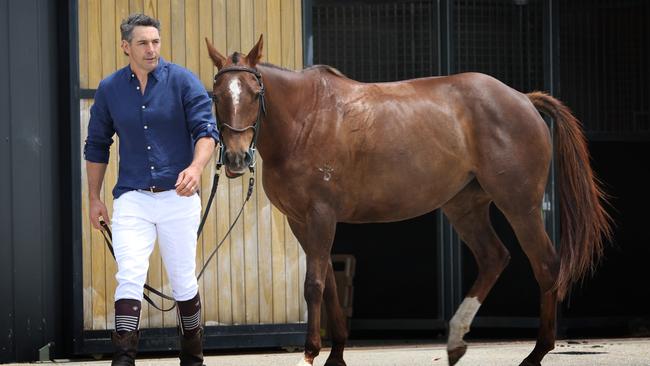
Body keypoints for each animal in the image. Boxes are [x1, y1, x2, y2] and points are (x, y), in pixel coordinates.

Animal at [205, 35, 612, 366]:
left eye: (255, 94)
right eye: (216, 96)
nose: (237, 159)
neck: (306, 119)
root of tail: (523, 99)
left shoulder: (320, 216)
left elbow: (315, 283)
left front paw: (311, 352)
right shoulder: (300, 221)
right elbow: (330, 283)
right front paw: (336, 354)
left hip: (520, 206)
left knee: (545, 266)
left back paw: (536, 352)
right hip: (464, 206)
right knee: (494, 257)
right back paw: (456, 341)